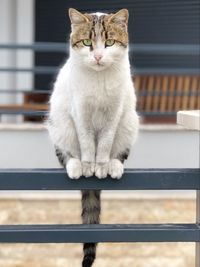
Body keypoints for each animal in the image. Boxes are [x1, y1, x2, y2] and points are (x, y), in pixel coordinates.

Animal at [48, 7, 139, 266]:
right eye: (87, 42)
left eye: (109, 43)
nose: (98, 57)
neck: (99, 79)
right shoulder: (80, 112)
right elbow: (88, 142)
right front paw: (89, 165)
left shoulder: (114, 113)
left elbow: (105, 143)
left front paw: (102, 165)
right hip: (60, 125)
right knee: (66, 154)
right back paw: (76, 166)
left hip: (129, 122)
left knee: (119, 151)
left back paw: (114, 166)